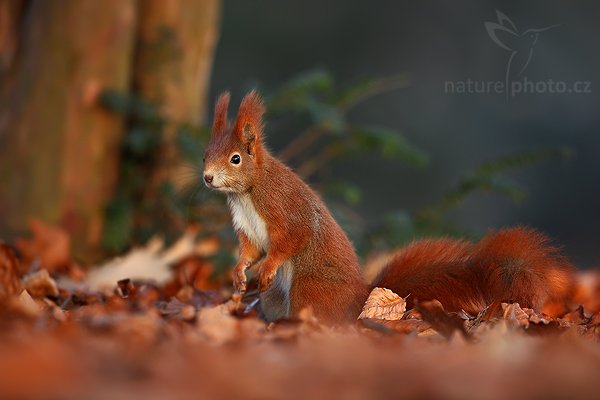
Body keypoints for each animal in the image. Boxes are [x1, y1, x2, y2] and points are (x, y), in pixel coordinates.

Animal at [204, 90, 576, 322]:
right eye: (206, 153)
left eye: (235, 159)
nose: (207, 177)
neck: (247, 192)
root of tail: (359, 299)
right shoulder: (247, 227)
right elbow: (250, 250)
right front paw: (239, 273)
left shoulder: (283, 207)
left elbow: (291, 239)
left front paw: (266, 268)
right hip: (276, 299)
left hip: (309, 288)